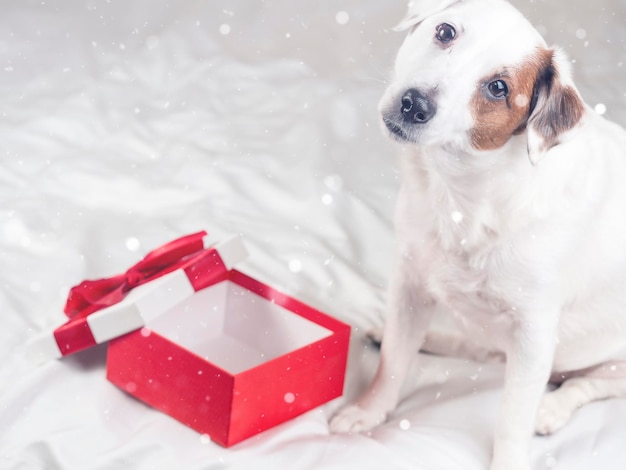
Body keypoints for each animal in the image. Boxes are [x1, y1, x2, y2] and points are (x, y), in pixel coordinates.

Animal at [332, 0, 626, 470]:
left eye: (498, 88)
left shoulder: (533, 333)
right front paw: (368, 410)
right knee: (482, 348)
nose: (414, 104)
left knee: (585, 385)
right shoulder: (410, 283)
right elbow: (394, 360)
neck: (467, 197)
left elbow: (512, 418)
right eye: (445, 31)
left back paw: (551, 408)